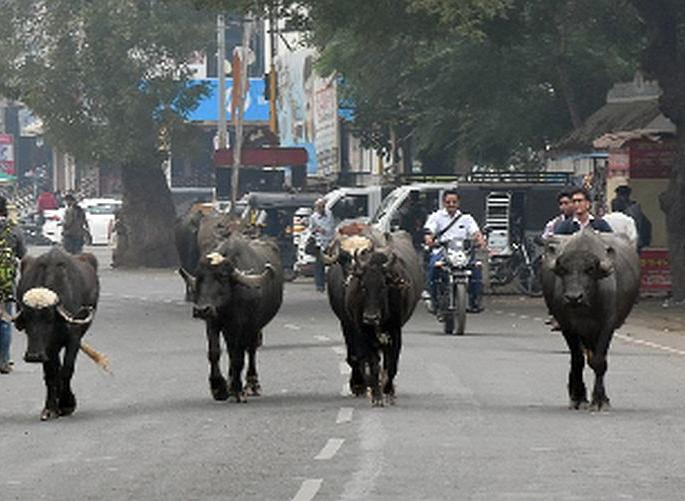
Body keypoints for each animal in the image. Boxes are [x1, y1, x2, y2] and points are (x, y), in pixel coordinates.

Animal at [13, 247, 100, 421]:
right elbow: (51, 373)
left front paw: (67, 404)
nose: (33, 356)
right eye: (27, 319)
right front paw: (51, 408)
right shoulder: (48, 347)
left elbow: (67, 369)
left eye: (49, 318)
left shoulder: (74, 338)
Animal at [181, 233, 283, 402]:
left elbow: (238, 358)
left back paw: (252, 385)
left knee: (251, 350)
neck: (228, 307)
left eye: (222, 277)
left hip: (255, 328)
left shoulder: (243, 326)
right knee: (231, 350)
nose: (201, 310)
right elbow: (214, 352)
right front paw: (219, 388)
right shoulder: (213, 322)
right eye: (200, 277)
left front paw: (237, 389)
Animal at [327, 230, 423, 406]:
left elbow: (391, 364)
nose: (371, 317)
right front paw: (372, 392)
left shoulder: (395, 330)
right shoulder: (355, 327)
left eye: (383, 286)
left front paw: (388, 391)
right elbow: (368, 361)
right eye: (364, 286)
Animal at [541, 228, 640, 410]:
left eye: (589, 270)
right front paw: (578, 397)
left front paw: (600, 400)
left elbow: (599, 361)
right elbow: (577, 360)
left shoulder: (607, 325)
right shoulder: (567, 326)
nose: (574, 297)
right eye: (564, 270)